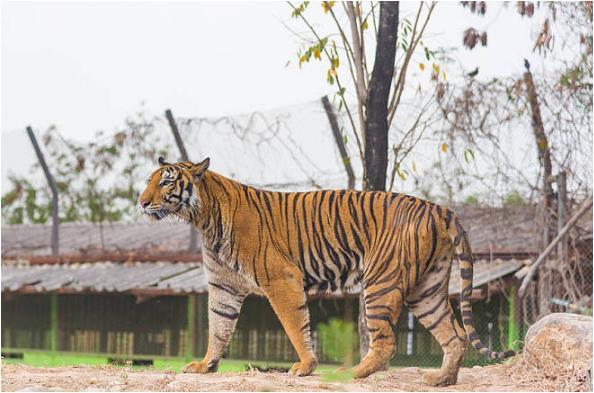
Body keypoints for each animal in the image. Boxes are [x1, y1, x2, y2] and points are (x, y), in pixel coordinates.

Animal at [139, 157, 512, 386]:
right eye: (149, 181)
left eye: (167, 183)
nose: (141, 202)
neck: (204, 220)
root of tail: (439, 208)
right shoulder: (223, 287)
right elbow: (218, 327)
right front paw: (206, 366)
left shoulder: (281, 279)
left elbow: (295, 325)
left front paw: (305, 367)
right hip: (427, 289)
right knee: (454, 334)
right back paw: (441, 379)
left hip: (380, 281)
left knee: (386, 341)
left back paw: (352, 373)